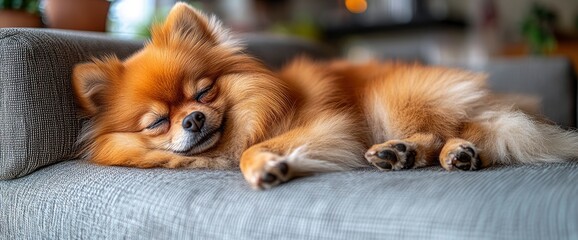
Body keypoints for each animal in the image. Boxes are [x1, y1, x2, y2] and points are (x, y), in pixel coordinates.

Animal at [72, 2, 576, 189]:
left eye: (204, 91)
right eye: (158, 122)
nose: (193, 119)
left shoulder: (327, 124)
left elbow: (253, 150)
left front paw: (265, 165)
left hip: (389, 98)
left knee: (451, 130)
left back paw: (426, 151)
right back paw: (416, 154)